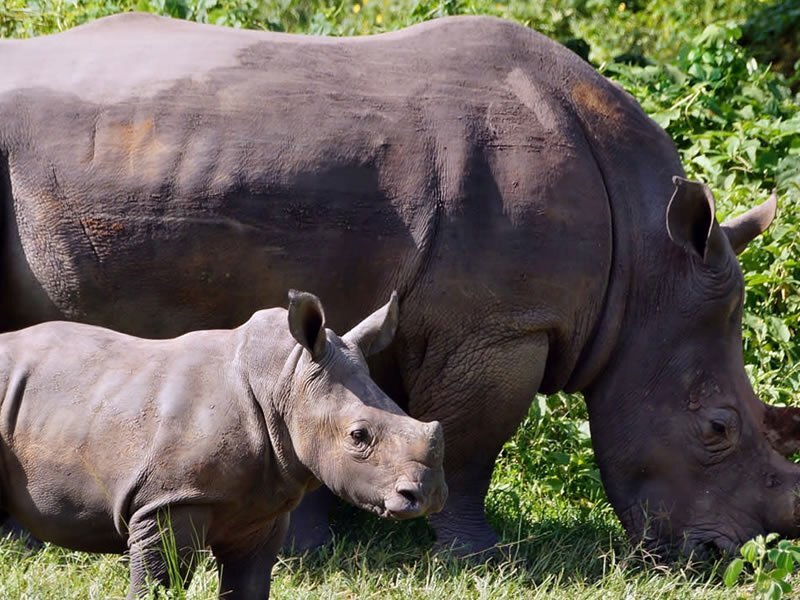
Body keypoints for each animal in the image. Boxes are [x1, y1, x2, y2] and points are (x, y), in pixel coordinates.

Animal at [0, 13, 797, 558]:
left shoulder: (396, 310)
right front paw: (480, 556)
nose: (721, 557)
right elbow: (472, 444)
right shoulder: (502, 326)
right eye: (717, 429)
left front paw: (315, 540)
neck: (645, 269)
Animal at [0, 290, 447, 598]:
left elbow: (248, 586)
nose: (427, 496)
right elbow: (158, 583)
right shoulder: (169, 500)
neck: (285, 381)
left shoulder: (261, 510)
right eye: (358, 436)